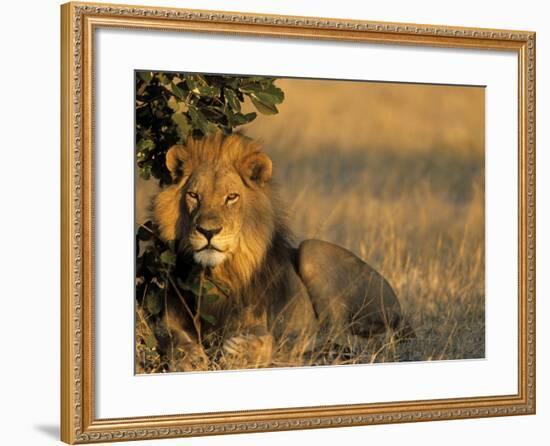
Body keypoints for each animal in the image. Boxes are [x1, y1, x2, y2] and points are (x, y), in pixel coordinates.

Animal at [151, 132, 414, 372]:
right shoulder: (170, 316)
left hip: (313, 250)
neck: (215, 273)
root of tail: (400, 310)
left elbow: (262, 341)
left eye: (232, 197)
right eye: (193, 195)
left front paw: (240, 350)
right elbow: (172, 338)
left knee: (338, 338)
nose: (208, 231)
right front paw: (191, 359)